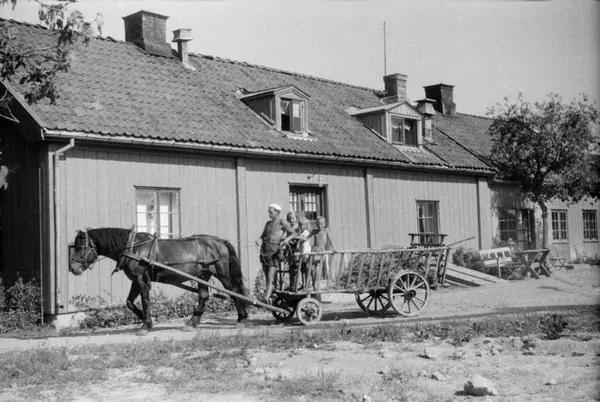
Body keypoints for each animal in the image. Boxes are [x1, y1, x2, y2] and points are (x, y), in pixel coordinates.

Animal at [68, 227, 248, 335]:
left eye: (80, 247)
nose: (72, 268)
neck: (134, 248)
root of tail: (220, 241)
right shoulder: (135, 280)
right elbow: (129, 302)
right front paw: (145, 320)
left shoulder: (141, 279)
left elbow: (145, 300)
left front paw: (146, 324)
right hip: (203, 276)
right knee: (204, 296)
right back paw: (191, 323)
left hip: (222, 273)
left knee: (235, 292)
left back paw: (241, 319)